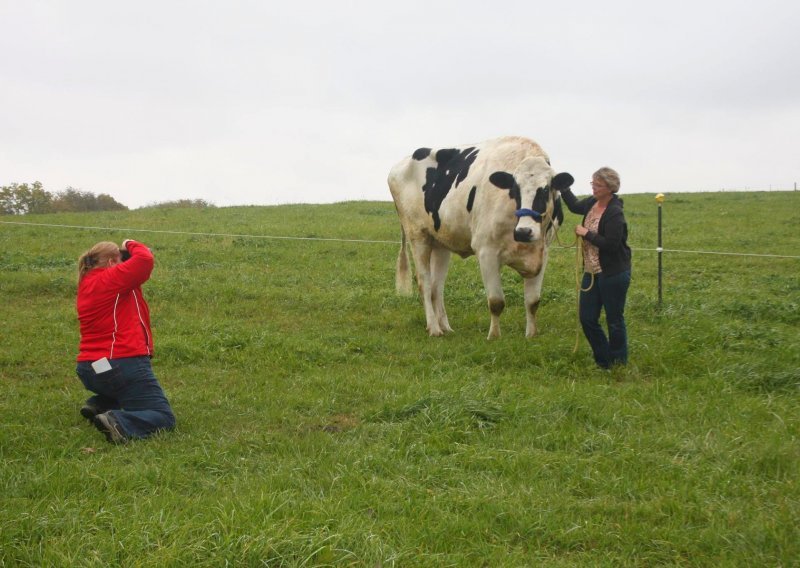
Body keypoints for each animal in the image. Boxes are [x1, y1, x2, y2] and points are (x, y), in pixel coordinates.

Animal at [390, 136, 572, 338]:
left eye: (546, 190)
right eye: (514, 189)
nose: (524, 231)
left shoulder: (543, 252)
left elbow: (533, 301)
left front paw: (531, 335)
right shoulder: (486, 251)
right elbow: (496, 301)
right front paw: (494, 336)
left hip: (440, 243)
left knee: (437, 287)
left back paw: (445, 327)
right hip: (417, 235)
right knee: (425, 282)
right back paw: (434, 328)